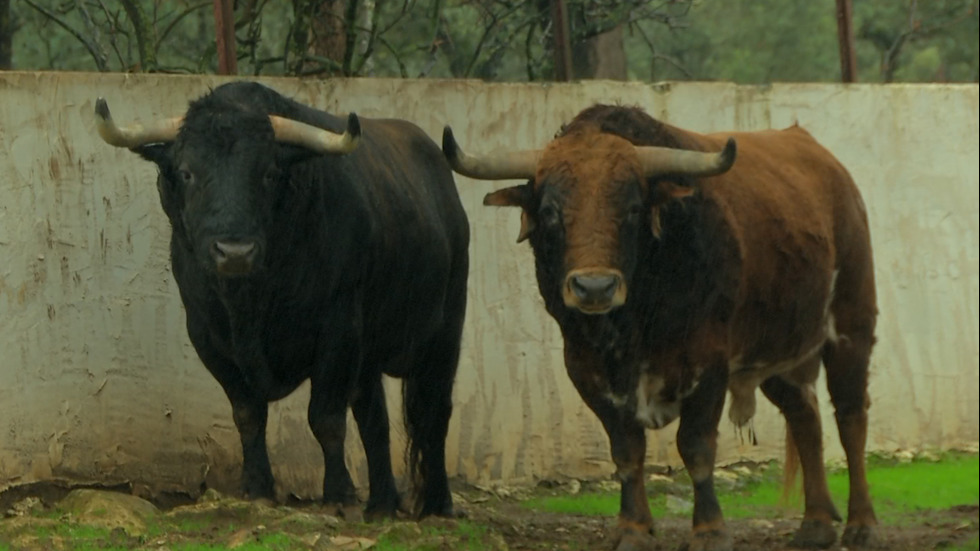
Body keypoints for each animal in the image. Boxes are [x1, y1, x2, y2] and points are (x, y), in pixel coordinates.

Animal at [94, 80, 468, 520]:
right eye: (187, 172)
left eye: (270, 173)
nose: (234, 252)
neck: (253, 299)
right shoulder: (207, 336)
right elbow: (248, 414)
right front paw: (257, 487)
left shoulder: (338, 331)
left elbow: (325, 418)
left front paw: (338, 494)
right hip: (370, 357)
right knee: (373, 417)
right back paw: (381, 504)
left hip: (444, 332)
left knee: (433, 412)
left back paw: (438, 504)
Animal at [444, 104, 880, 551]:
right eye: (550, 211)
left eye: (633, 208)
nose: (594, 287)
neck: (634, 322)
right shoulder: (585, 368)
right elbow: (626, 450)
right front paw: (633, 528)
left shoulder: (708, 365)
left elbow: (696, 446)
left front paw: (709, 530)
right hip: (778, 352)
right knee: (804, 415)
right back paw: (816, 525)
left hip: (851, 324)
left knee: (850, 417)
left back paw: (862, 524)